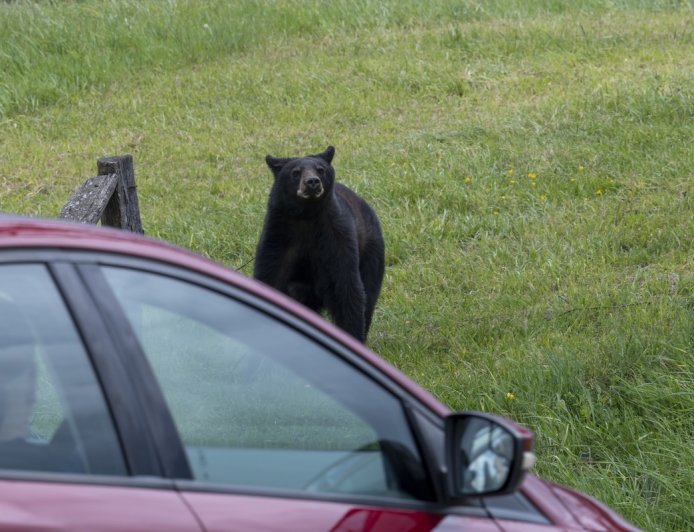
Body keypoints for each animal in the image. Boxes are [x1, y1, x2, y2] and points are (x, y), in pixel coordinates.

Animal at [254, 145, 385, 343]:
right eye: (295, 172)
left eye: (320, 170)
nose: (312, 182)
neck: (307, 215)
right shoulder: (277, 237)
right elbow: (270, 276)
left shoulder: (337, 238)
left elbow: (346, 289)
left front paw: (351, 335)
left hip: (371, 253)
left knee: (369, 294)